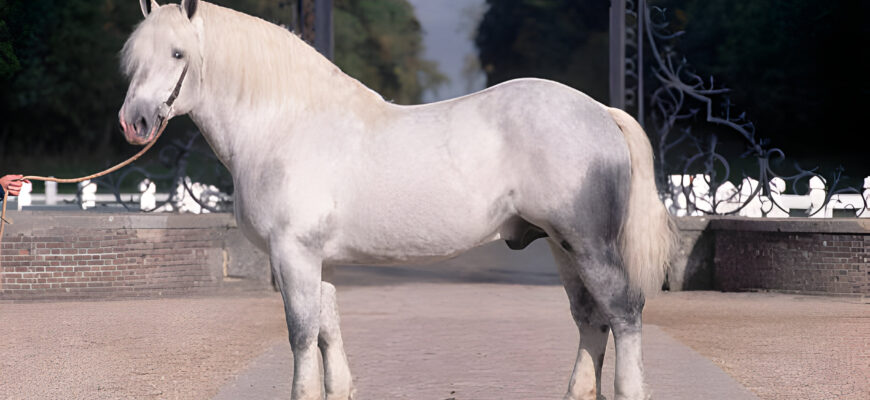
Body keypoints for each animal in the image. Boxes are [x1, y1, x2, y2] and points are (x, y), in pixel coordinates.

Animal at [119, 1, 676, 398]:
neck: (285, 125)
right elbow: (327, 330)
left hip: (589, 245)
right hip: (563, 247)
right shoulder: (318, 261)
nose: (135, 122)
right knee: (590, 318)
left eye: (178, 54)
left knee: (623, 313)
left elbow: (301, 334)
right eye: (133, 59)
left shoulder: (293, 254)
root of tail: (600, 111)